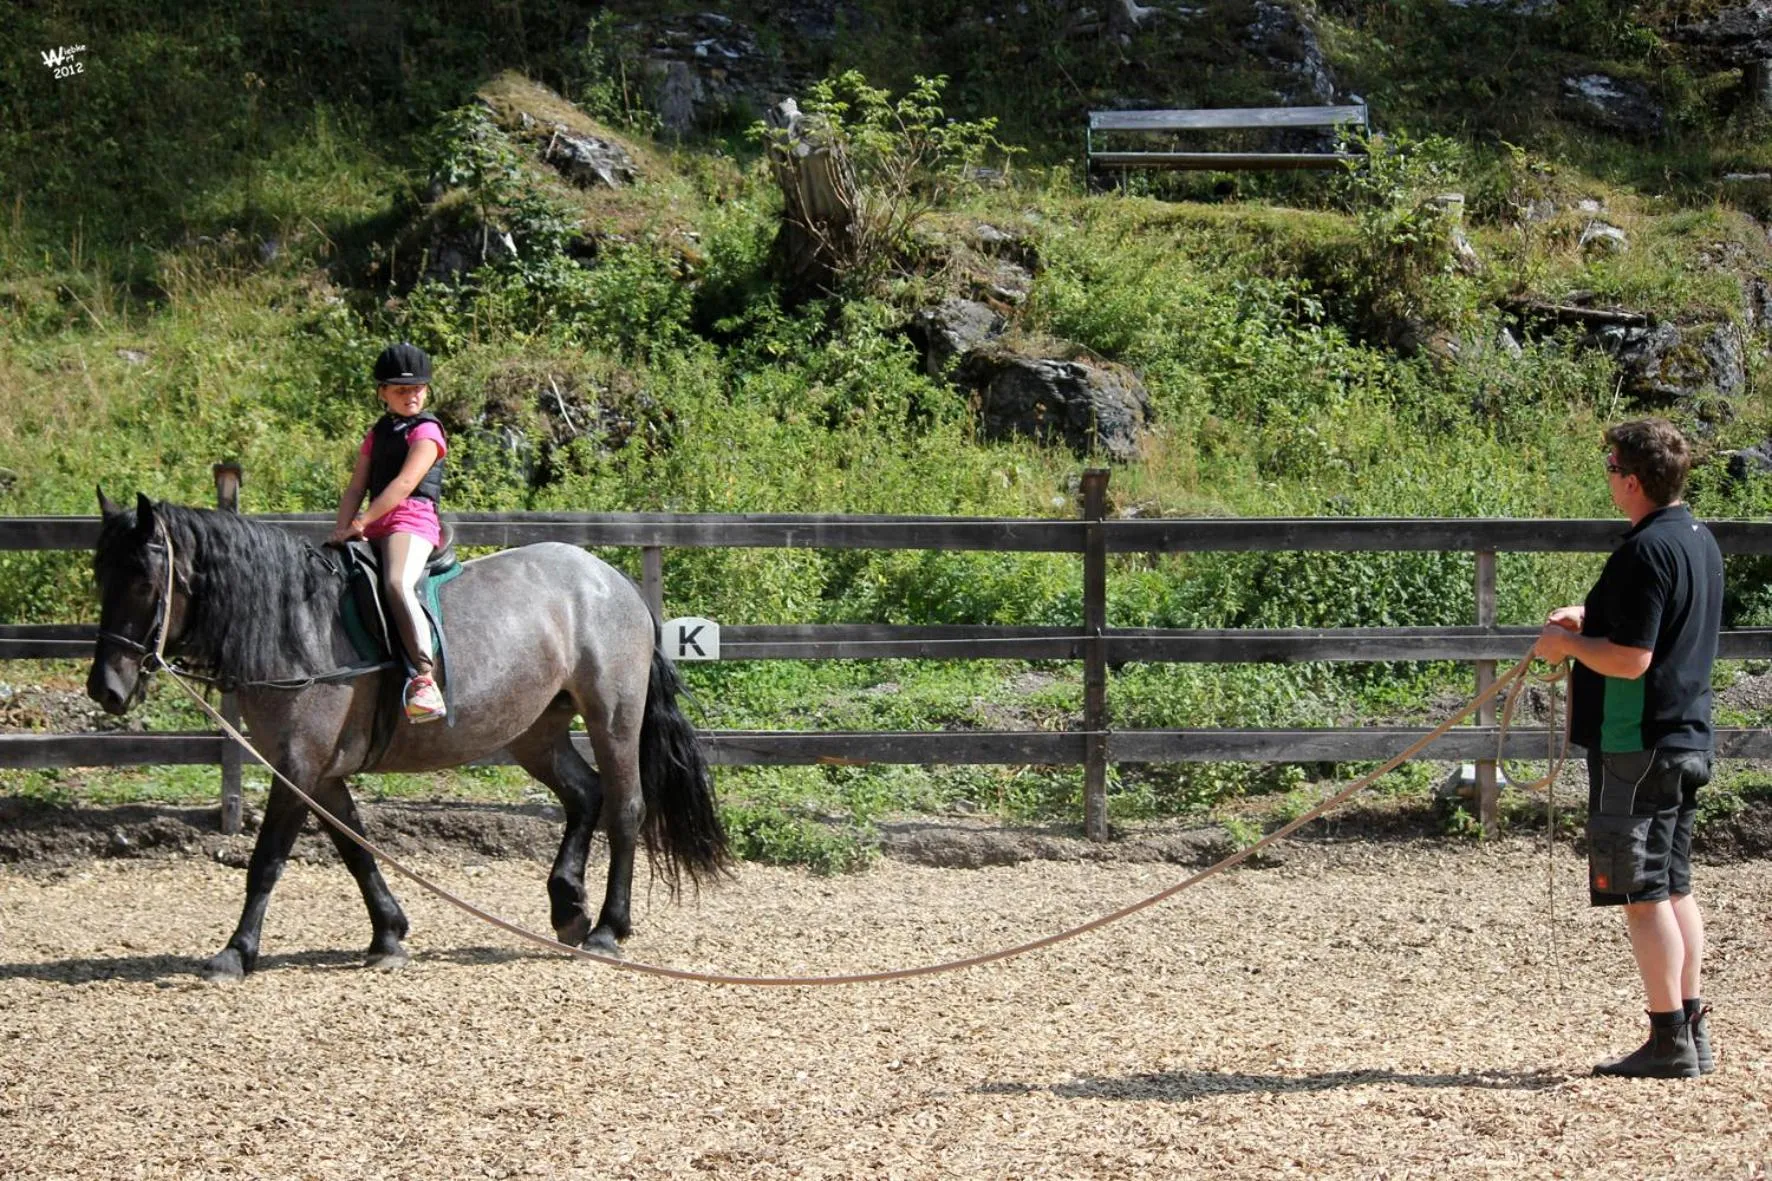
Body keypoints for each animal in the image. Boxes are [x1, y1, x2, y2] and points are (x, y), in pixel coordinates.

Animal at [85, 491, 729, 981]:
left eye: (143, 581)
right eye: (99, 576)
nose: (106, 689)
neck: (296, 627)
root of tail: (611, 580)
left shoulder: (296, 768)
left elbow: (267, 859)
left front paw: (235, 953)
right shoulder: (322, 774)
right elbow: (355, 850)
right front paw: (388, 935)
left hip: (612, 717)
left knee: (624, 808)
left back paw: (607, 929)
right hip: (534, 730)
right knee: (584, 794)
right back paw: (568, 906)